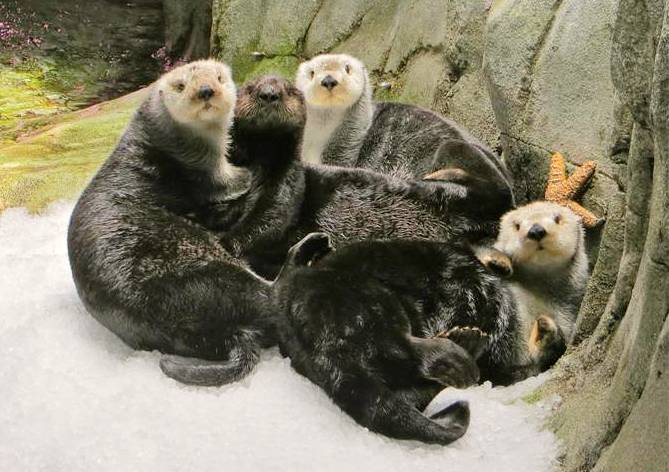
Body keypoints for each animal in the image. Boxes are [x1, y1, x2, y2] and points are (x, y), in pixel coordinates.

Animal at [68, 60, 272, 386]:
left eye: (219, 77)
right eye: (180, 85)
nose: (206, 90)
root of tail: (231, 334)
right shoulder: (206, 178)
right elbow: (232, 184)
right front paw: (250, 173)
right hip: (215, 276)